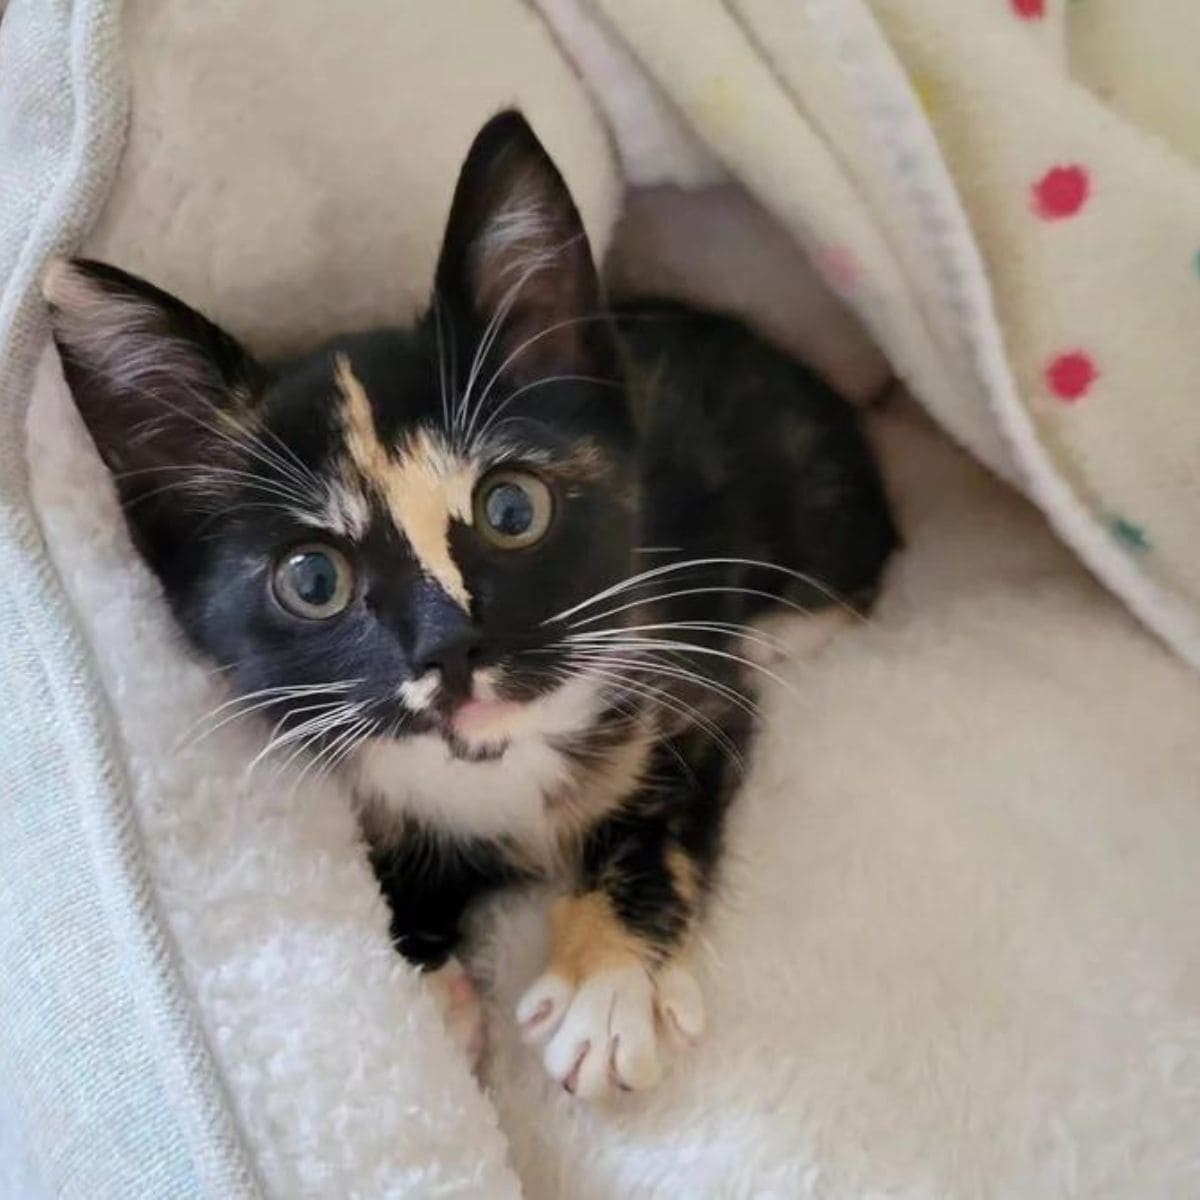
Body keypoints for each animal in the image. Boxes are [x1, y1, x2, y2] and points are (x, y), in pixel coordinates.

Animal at [42, 110, 897, 1099]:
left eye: (512, 510)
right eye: (313, 580)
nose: (450, 647)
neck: (494, 764)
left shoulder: (681, 655)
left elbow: (667, 805)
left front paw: (611, 985)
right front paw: (426, 975)